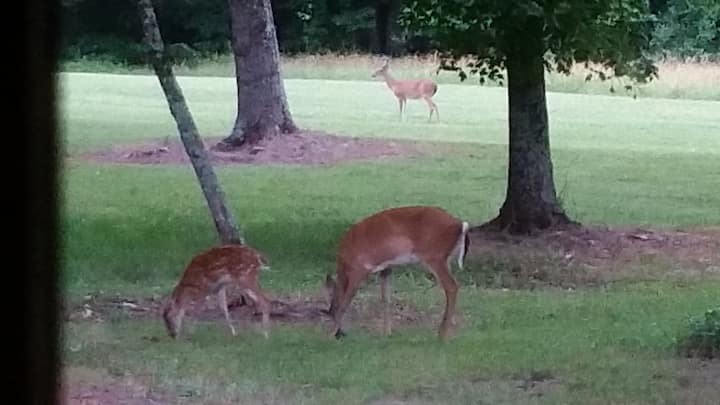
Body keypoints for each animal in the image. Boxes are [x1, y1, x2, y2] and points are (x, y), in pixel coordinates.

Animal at [324, 206, 470, 341]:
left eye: (331, 309)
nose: (340, 334)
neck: (344, 261)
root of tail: (460, 224)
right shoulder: (386, 269)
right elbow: (385, 299)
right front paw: (387, 333)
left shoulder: (358, 268)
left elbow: (345, 302)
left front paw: (329, 335)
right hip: (445, 258)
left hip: (434, 256)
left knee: (451, 286)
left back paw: (442, 335)